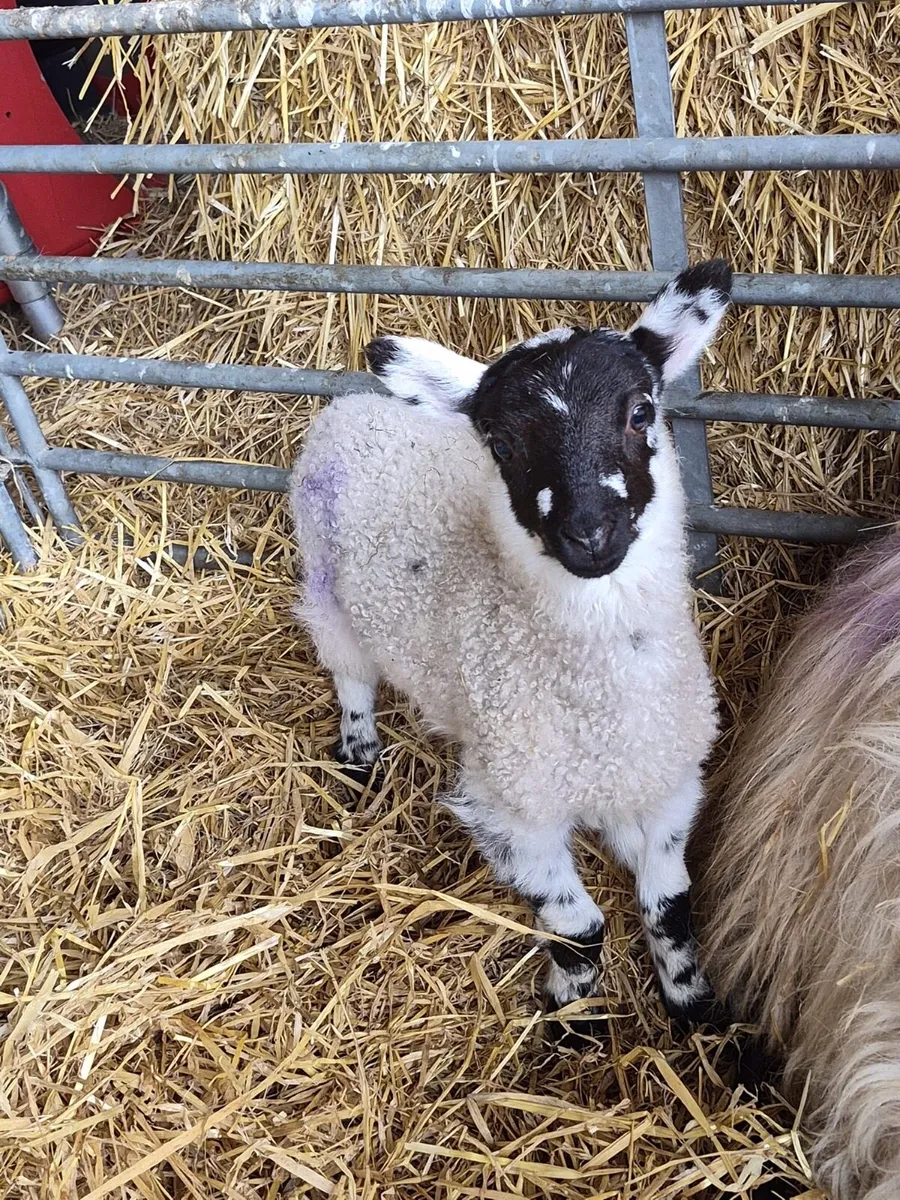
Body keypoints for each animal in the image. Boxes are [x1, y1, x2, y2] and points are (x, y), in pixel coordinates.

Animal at [291, 261, 732, 1035]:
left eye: (640, 411)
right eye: (500, 445)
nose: (587, 533)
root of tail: (351, 404)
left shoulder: (667, 785)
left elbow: (669, 909)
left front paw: (693, 1008)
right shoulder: (512, 809)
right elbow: (578, 928)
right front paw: (571, 1020)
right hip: (324, 584)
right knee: (351, 675)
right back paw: (359, 753)